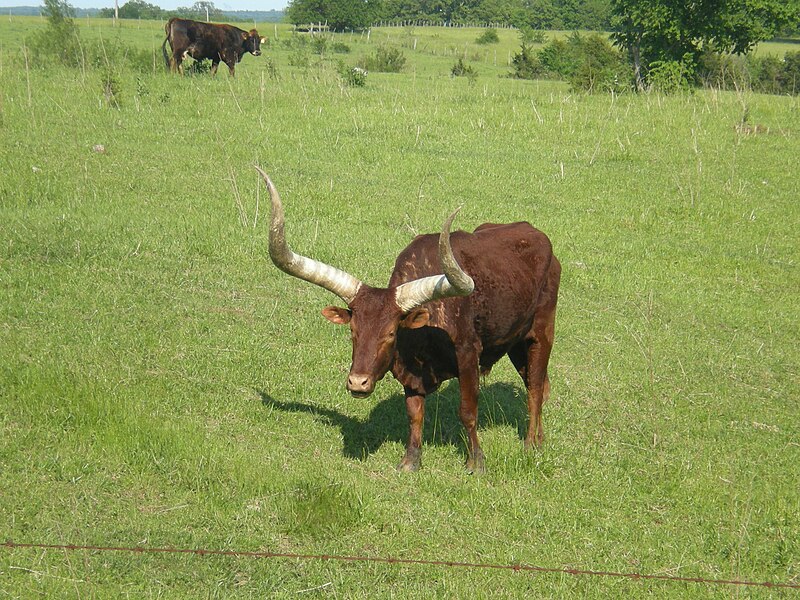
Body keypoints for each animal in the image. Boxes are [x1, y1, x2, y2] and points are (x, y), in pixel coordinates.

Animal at [260, 166, 560, 472]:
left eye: (391, 332)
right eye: (353, 331)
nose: (357, 383)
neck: (425, 335)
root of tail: (537, 235)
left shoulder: (468, 354)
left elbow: (467, 411)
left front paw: (476, 461)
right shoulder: (411, 376)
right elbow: (414, 413)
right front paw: (411, 460)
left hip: (542, 332)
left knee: (535, 388)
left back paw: (530, 444)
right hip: (514, 343)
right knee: (536, 384)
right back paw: (539, 438)